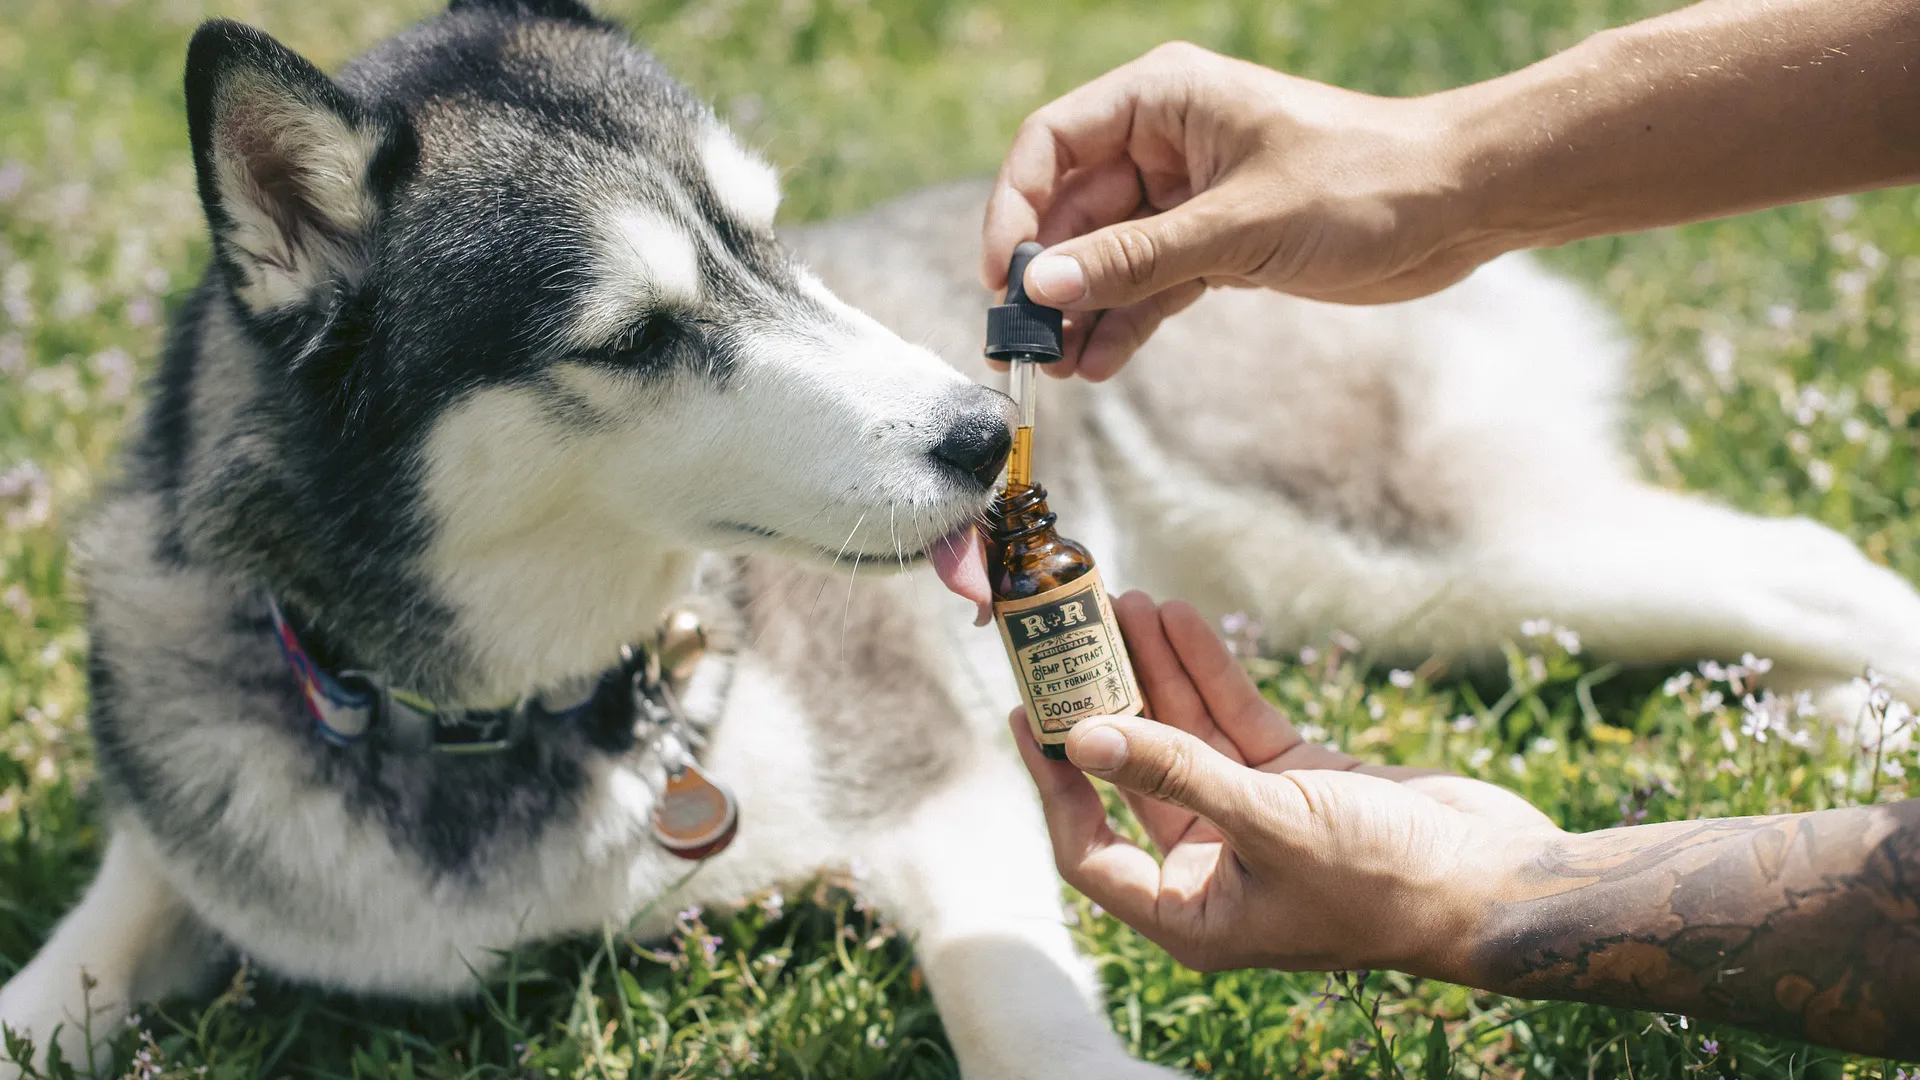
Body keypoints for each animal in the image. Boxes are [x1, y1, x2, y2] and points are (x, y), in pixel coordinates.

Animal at [3, 2, 1920, 1076]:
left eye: (775, 240)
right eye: (635, 334)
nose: (986, 431)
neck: (513, 720)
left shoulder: (935, 767)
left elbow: (1009, 1005)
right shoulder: (199, 804)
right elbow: (79, 961)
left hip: (1411, 550)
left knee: (1805, 559)